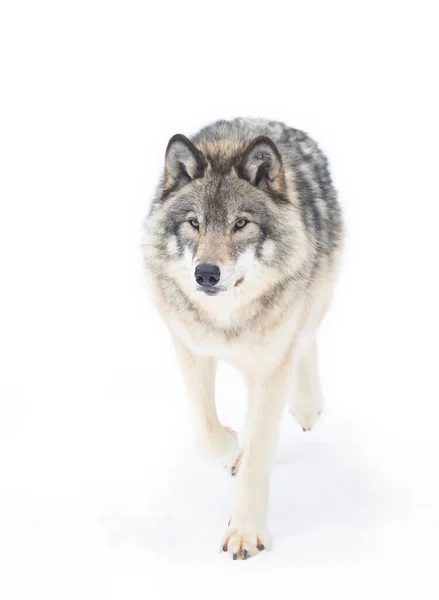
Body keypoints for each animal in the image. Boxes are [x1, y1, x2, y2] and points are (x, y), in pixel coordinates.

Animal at [144, 117, 344, 556]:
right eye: (194, 223)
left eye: (240, 223)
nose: (206, 274)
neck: (227, 320)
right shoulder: (189, 346)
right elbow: (206, 429)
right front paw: (230, 449)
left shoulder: (272, 365)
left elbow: (258, 452)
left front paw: (246, 533)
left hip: (314, 299)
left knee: (306, 341)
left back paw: (306, 407)